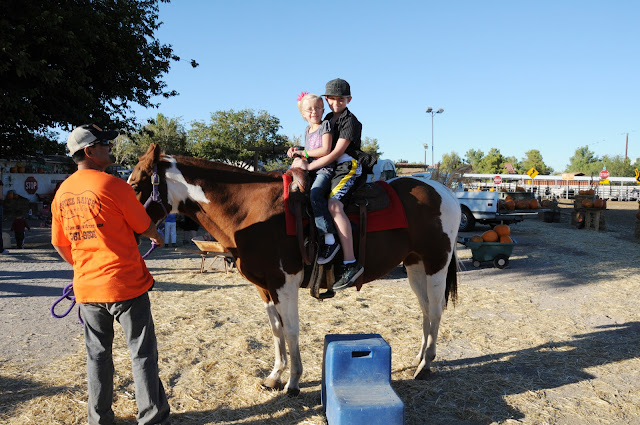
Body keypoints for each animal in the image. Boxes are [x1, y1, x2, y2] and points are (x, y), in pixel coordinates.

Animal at [128, 144, 460, 396]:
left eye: (133, 184)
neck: (250, 209)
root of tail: (444, 191)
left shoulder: (284, 283)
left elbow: (291, 329)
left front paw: (293, 382)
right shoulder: (264, 287)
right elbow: (276, 329)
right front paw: (275, 375)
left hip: (436, 264)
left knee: (435, 310)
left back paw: (426, 365)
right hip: (415, 265)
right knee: (425, 310)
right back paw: (420, 357)